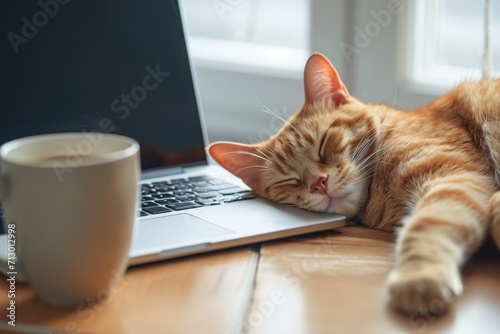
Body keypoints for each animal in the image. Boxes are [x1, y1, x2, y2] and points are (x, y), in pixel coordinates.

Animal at [208, 52, 500, 314]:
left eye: (323, 144)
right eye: (288, 179)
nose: (319, 183)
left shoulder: (452, 176)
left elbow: (428, 225)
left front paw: (420, 276)